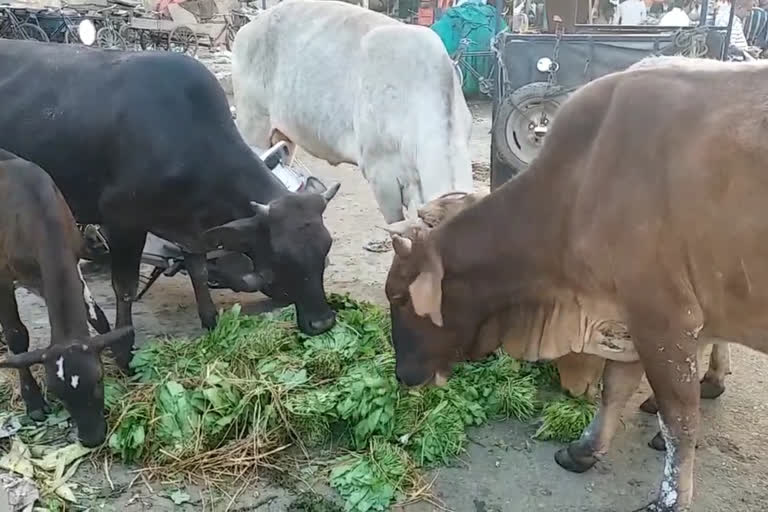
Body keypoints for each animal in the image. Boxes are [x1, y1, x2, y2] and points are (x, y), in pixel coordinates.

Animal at [0, 40, 340, 372]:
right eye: (281, 256)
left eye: (326, 247)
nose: (323, 323)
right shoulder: (123, 222)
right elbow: (125, 287)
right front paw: (124, 353)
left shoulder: (190, 227)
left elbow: (199, 272)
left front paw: (212, 324)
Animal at [0, 149, 134, 448]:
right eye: (57, 394)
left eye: (99, 379)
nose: (92, 438)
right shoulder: (1, 276)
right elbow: (17, 336)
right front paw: (33, 400)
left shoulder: (68, 260)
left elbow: (97, 317)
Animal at [384, 54, 768, 510]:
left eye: (399, 298)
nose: (402, 375)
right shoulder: (629, 315)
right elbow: (614, 389)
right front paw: (585, 449)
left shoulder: (664, 320)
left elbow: (679, 420)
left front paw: (670, 499)